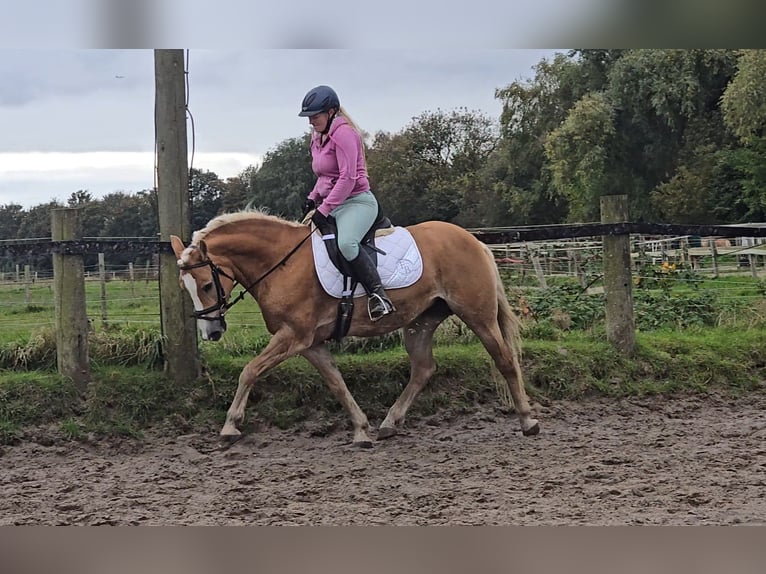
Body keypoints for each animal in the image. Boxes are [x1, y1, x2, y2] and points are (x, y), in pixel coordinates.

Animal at [170, 209, 540, 448]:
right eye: (184, 287)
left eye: (206, 285)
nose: (212, 333)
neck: (282, 263)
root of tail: (474, 241)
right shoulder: (310, 342)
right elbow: (336, 383)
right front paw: (362, 430)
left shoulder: (293, 336)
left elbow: (249, 370)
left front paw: (230, 426)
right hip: (421, 321)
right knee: (423, 369)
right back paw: (389, 424)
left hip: (477, 314)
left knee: (505, 361)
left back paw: (528, 420)